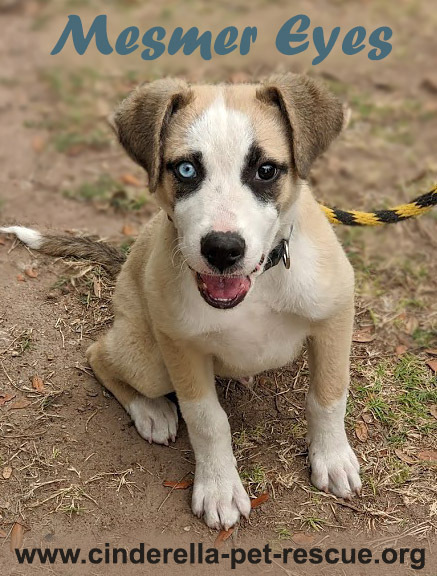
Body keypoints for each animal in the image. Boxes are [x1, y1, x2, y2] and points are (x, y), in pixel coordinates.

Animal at [1, 73, 360, 532]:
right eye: (186, 169)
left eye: (265, 171)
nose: (222, 250)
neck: (258, 288)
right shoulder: (181, 347)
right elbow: (207, 420)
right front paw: (219, 489)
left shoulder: (334, 319)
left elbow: (328, 395)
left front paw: (332, 459)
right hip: (150, 360)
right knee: (99, 354)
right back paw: (150, 411)